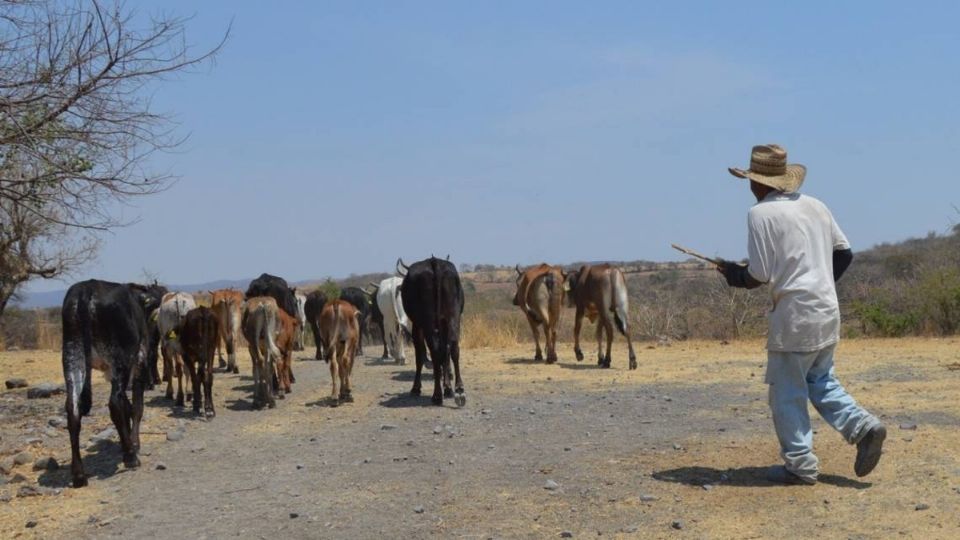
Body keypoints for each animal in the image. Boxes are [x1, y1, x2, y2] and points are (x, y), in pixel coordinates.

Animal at [62, 280, 167, 488]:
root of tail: (87, 288)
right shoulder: (139, 360)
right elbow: (135, 407)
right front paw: (134, 444)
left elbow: (127, 405)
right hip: (121, 359)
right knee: (114, 404)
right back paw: (130, 458)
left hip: (73, 357)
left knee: (73, 410)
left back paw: (78, 475)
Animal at [398, 258, 464, 404]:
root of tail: (435, 262)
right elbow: (445, 353)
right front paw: (447, 387)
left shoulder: (417, 326)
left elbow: (420, 355)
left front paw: (416, 388)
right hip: (453, 317)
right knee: (453, 348)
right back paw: (458, 390)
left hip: (428, 321)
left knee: (435, 350)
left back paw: (437, 395)